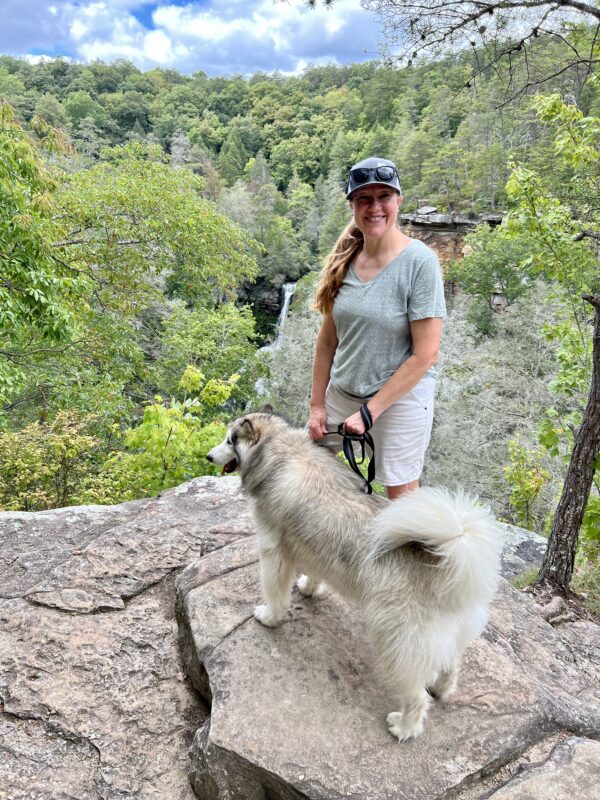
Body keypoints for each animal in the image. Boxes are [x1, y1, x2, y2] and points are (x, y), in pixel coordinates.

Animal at [206, 416, 502, 740]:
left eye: (230, 440)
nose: (208, 456)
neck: (279, 449)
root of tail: (451, 557)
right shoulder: (315, 548)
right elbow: (315, 573)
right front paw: (308, 588)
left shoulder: (274, 552)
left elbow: (275, 592)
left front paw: (269, 616)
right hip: (446, 637)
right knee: (449, 665)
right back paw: (441, 689)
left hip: (399, 644)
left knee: (416, 697)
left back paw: (404, 727)